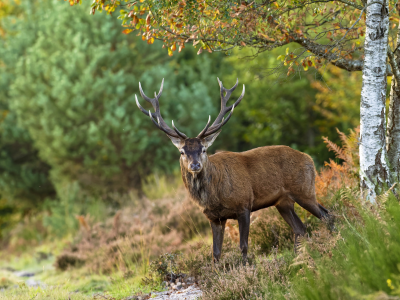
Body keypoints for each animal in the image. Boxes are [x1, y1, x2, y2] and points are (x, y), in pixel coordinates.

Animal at [135, 78, 332, 262]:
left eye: (203, 149)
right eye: (182, 152)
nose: (195, 165)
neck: (214, 196)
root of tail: (308, 158)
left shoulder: (243, 205)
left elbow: (243, 245)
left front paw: (246, 268)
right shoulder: (214, 218)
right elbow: (216, 253)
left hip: (304, 190)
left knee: (327, 215)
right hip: (283, 202)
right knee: (300, 228)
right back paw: (300, 258)